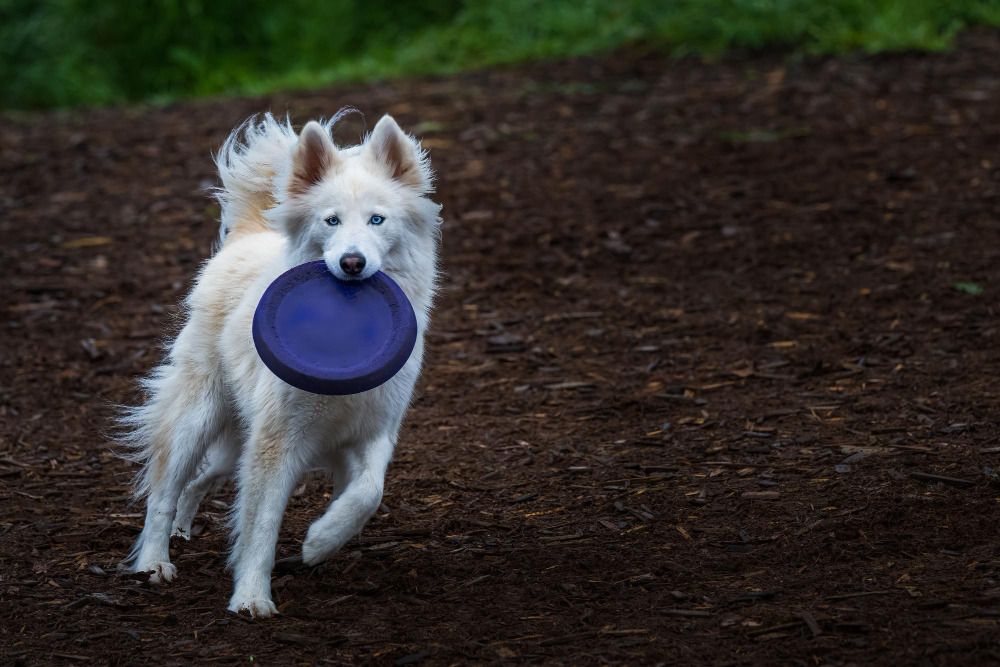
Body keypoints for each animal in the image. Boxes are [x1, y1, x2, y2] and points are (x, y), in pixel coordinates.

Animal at [118, 112, 441, 617]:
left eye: (377, 219)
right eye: (331, 220)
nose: (352, 263)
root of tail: (250, 234)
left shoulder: (374, 431)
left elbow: (369, 493)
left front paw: (320, 542)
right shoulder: (276, 441)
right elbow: (261, 523)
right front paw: (251, 596)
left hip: (235, 440)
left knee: (199, 481)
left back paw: (184, 529)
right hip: (198, 416)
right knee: (164, 493)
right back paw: (154, 562)